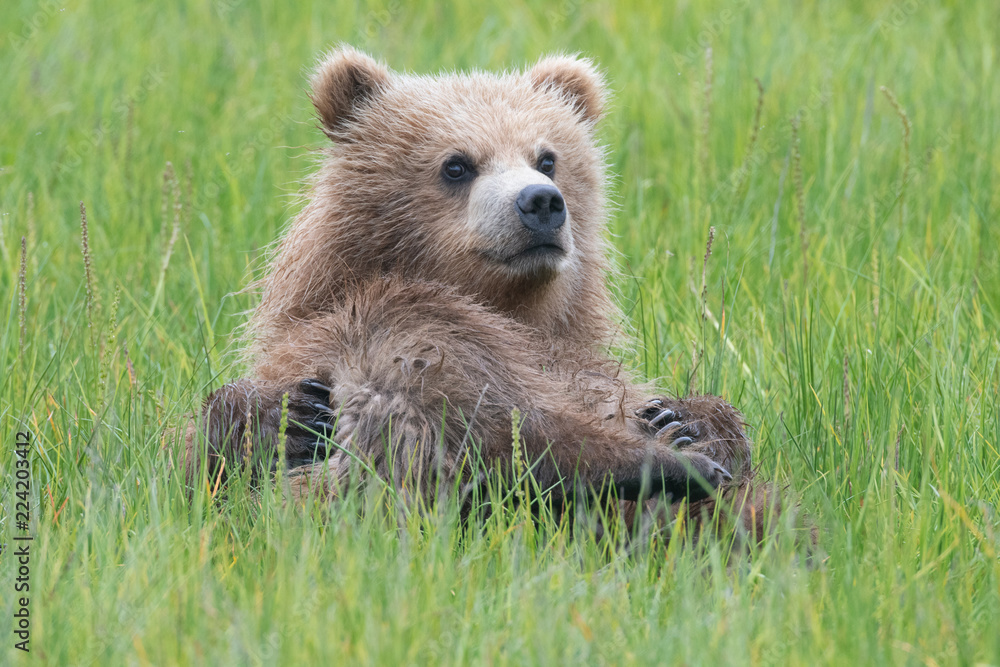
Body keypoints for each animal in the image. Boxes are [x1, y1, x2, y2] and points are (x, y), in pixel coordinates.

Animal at [184, 46, 764, 533]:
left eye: (547, 157)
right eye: (456, 164)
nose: (540, 202)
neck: (510, 307)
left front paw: (685, 418)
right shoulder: (384, 322)